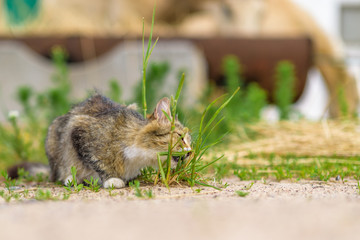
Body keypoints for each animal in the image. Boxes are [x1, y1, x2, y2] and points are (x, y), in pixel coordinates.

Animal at [45, 94, 191, 188]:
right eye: (180, 137)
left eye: (189, 140)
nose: (190, 151)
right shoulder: (78, 128)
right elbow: (98, 162)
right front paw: (112, 179)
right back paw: (71, 178)